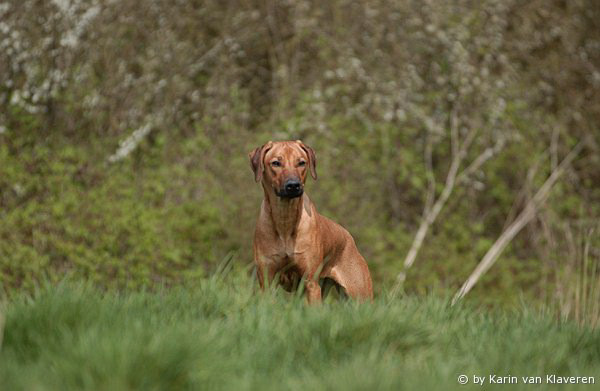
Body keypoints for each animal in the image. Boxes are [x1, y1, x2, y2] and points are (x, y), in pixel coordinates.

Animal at [247, 141, 370, 304]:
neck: (285, 217)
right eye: (276, 163)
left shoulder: (311, 282)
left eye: (301, 163)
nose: (293, 185)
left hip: (360, 293)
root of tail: (349, 237)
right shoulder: (267, 281)